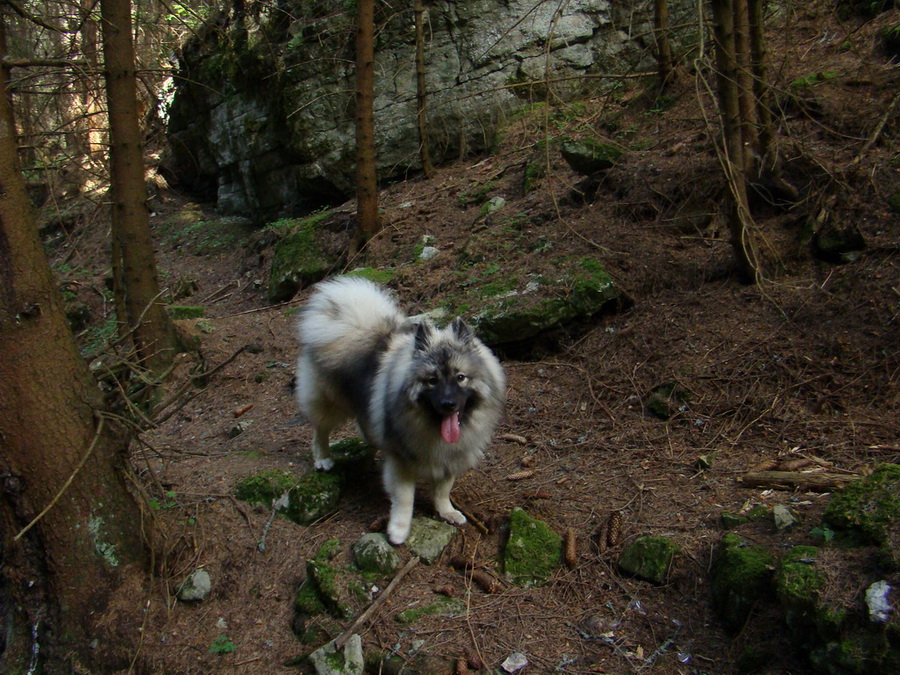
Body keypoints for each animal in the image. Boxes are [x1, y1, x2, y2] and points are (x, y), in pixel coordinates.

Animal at [296, 278, 506, 548]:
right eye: (432, 381)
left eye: (460, 377)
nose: (448, 403)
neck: (431, 427)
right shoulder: (402, 461)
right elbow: (405, 498)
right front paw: (398, 529)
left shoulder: (451, 456)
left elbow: (443, 489)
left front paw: (446, 511)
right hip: (329, 402)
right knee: (320, 430)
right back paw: (322, 458)